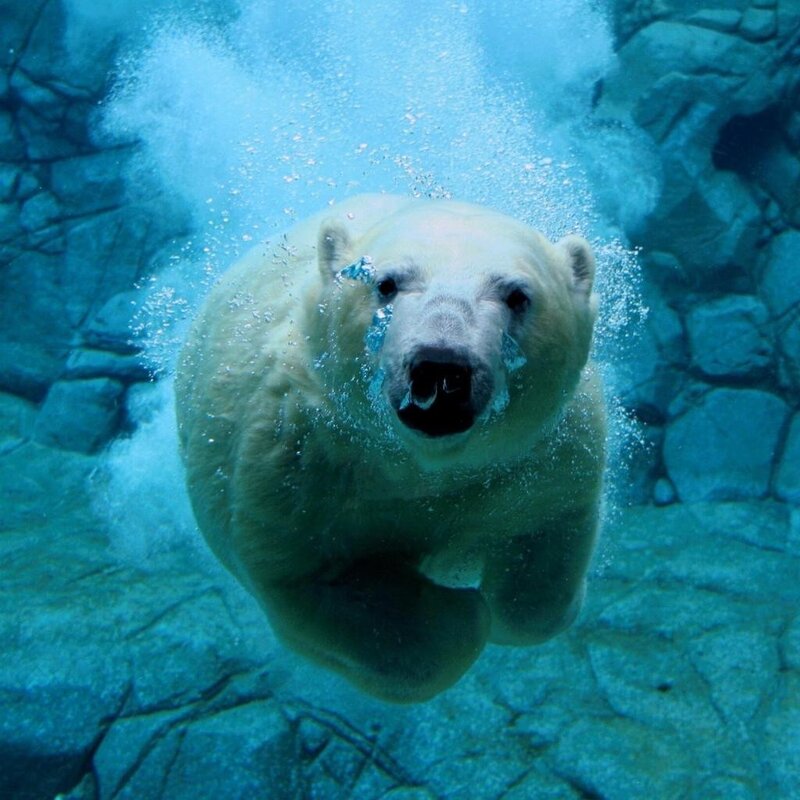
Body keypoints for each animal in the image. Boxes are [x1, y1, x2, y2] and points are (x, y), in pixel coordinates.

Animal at [175, 194, 605, 703]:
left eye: (518, 295)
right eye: (386, 283)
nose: (441, 367)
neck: (420, 465)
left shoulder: (542, 455)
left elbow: (545, 545)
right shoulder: (297, 461)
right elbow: (315, 581)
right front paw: (461, 613)